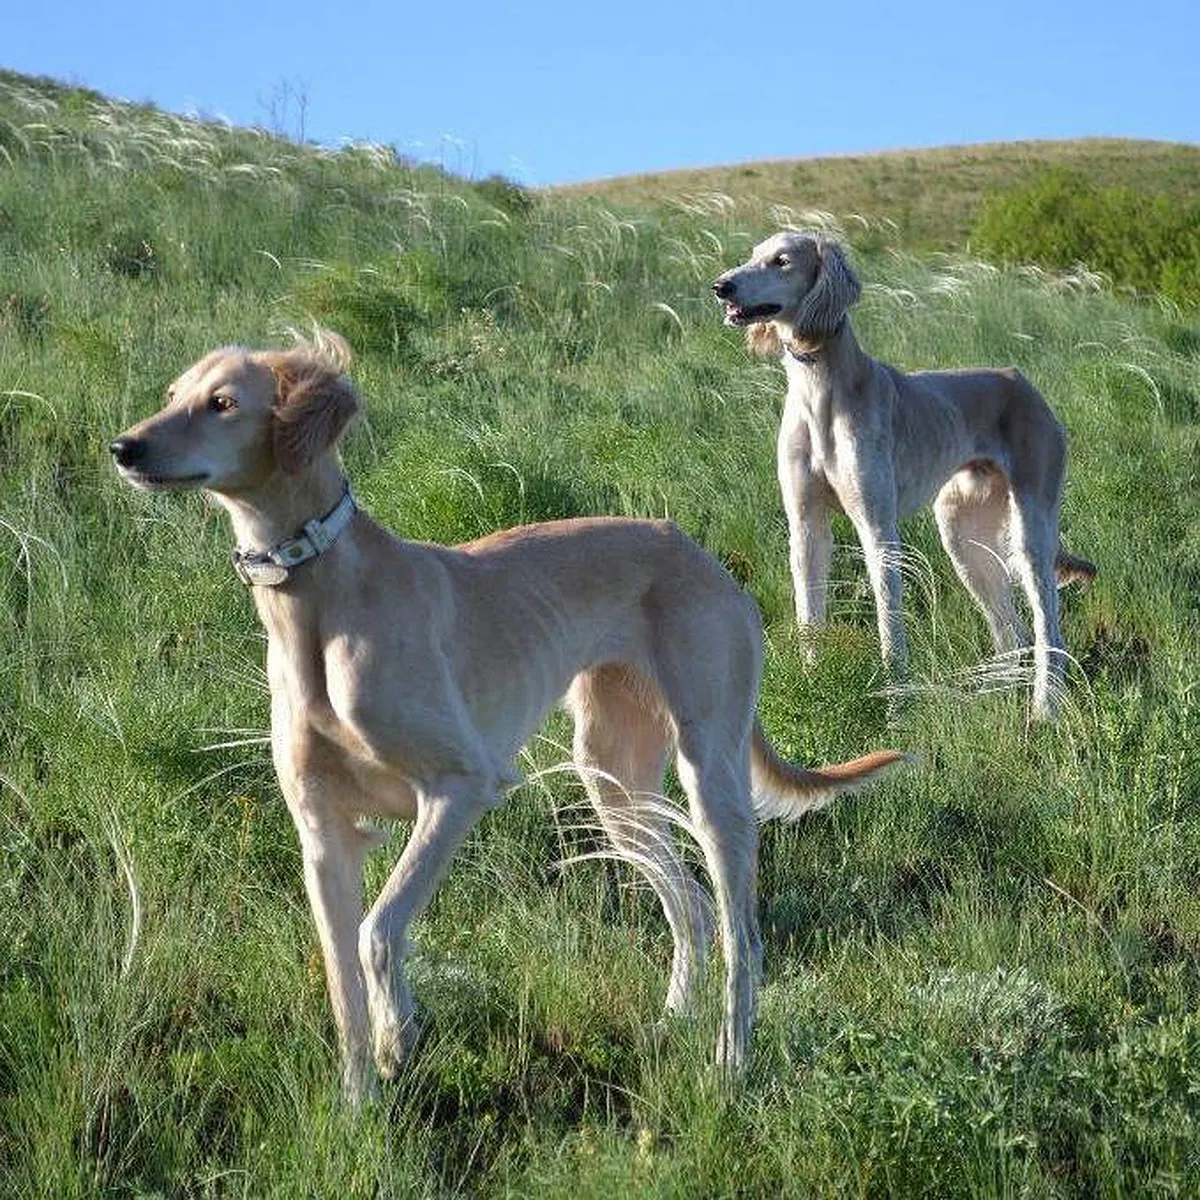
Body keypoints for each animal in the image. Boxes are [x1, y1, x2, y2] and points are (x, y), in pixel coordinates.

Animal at [112, 333, 902, 1099]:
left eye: (222, 403)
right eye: (173, 395)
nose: (124, 448)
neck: (319, 601)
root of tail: (695, 551)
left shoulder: (462, 787)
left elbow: (379, 929)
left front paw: (400, 1032)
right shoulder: (322, 834)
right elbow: (342, 986)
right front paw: (359, 1106)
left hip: (710, 775)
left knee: (743, 933)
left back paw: (730, 1064)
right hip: (613, 780)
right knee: (693, 907)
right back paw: (672, 1023)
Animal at [710, 231, 1099, 720]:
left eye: (781, 261)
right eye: (752, 255)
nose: (721, 286)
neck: (820, 390)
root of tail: (1021, 382)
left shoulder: (877, 526)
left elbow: (888, 620)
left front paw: (896, 701)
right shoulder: (805, 525)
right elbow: (808, 614)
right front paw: (811, 682)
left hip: (1032, 529)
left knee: (1049, 627)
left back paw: (1045, 707)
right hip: (963, 537)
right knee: (1010, 629)